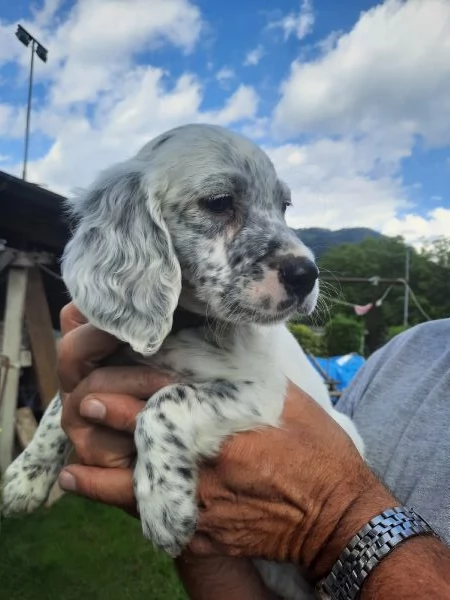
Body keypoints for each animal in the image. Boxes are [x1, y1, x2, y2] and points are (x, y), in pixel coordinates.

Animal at [1, 124, 364, 596]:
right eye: (219, 202)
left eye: (283, 207)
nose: (307, 274)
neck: (180, 325)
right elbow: (58, 403)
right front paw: (24, 475)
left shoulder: (262, 392)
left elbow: (163, 403)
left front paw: (163, 503)